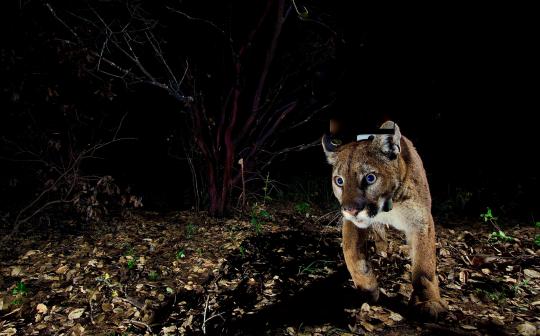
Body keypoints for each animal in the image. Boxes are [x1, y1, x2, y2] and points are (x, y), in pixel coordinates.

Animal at [320, 120, 448, 318]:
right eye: (339, 181)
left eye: (370, 178)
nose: (350, 210)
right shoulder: (353, 223)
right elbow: (352, 253)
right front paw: (368, 289)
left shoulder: (421, 221)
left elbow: (424, 266)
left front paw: (428, 301)